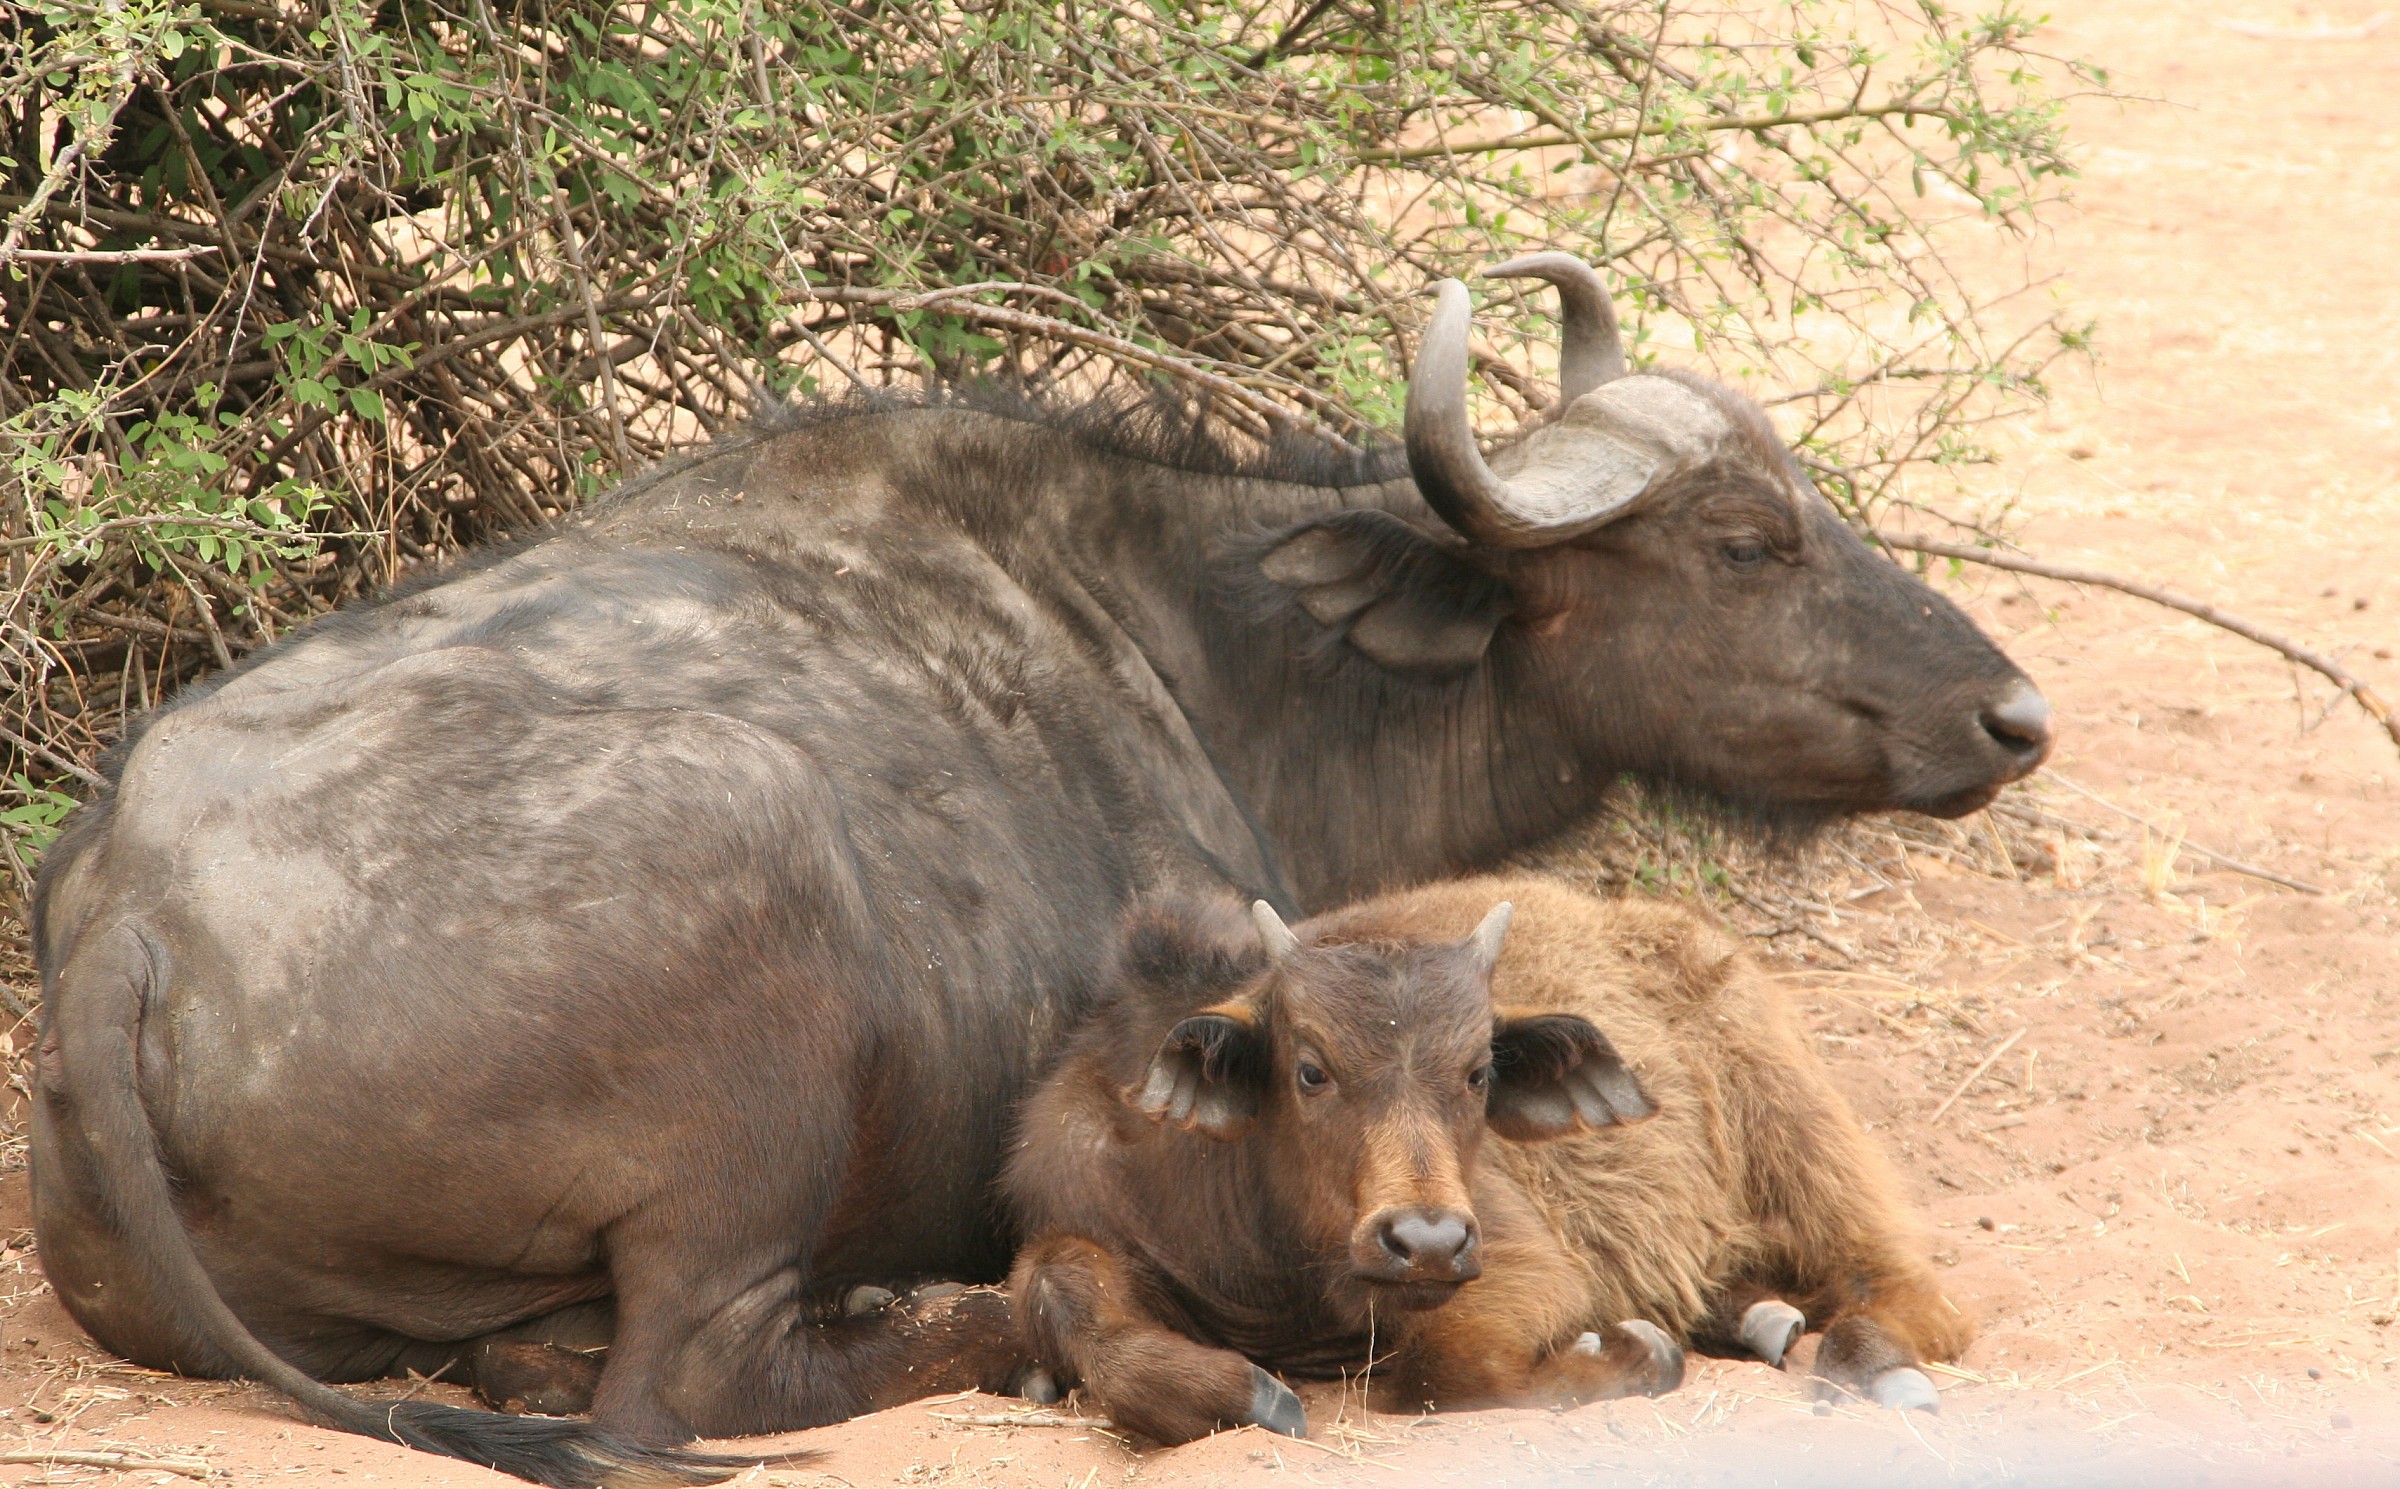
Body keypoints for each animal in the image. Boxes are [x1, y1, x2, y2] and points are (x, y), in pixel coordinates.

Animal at [1004, 876, 1967, 1443]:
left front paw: (1630, 1357)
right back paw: (1763, 1316)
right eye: (1311, 1068)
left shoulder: (1520, 1260)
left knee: (1903, 1284)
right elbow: (1062, 1294)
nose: (1426, 1241)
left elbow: (1447, 1365)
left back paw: (1876, 1363)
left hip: (1799, 1133)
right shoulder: (1081, 1210)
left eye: (1478, 1071)